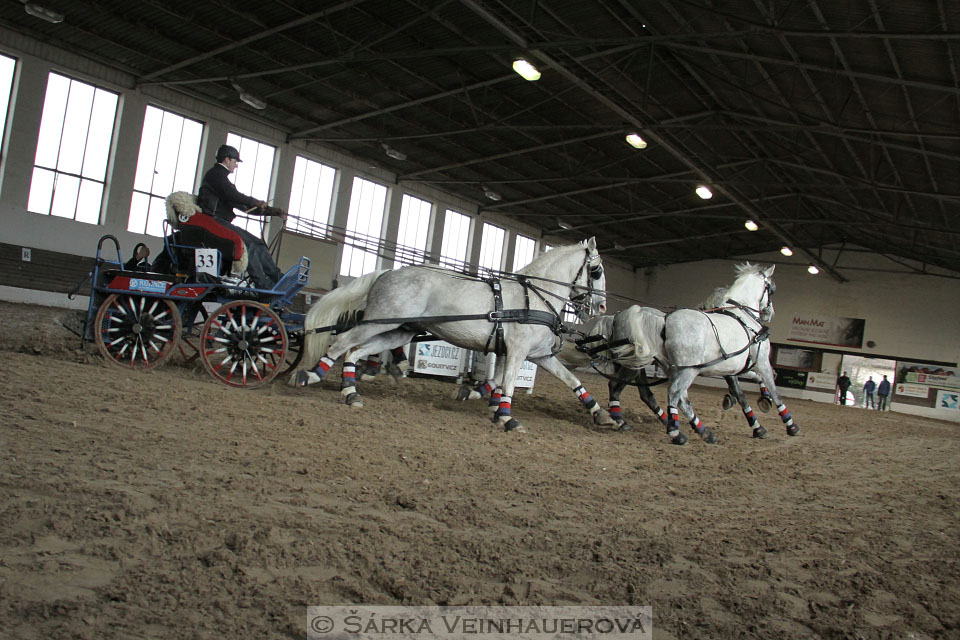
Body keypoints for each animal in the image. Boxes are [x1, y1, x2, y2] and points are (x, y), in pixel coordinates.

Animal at [290, 238, 616, 432]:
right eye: (597, 271)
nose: (601, 306)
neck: (534, 298)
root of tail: (388, 272)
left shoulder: (538, 354)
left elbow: (571, 379)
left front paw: (601, 414)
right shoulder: (518, 351)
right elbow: (508, 383)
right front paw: (507, 417)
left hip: (400, 331)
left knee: (355, 351)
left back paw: (351, 391)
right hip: (379, 322)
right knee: (342, 342)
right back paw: (310, 375)